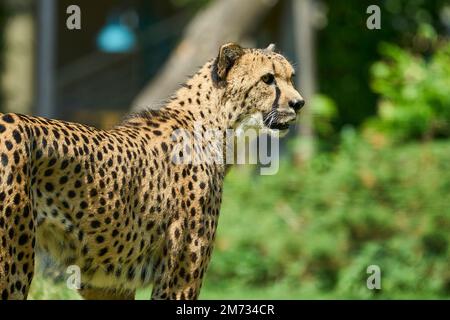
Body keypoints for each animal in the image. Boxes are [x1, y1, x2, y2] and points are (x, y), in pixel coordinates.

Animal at [0, 43, 304, 300]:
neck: (218, 127)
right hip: (14, 266)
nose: (299, 103)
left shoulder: (107, 285)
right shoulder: (179, 280)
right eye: (268, 79)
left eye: (291, 77)